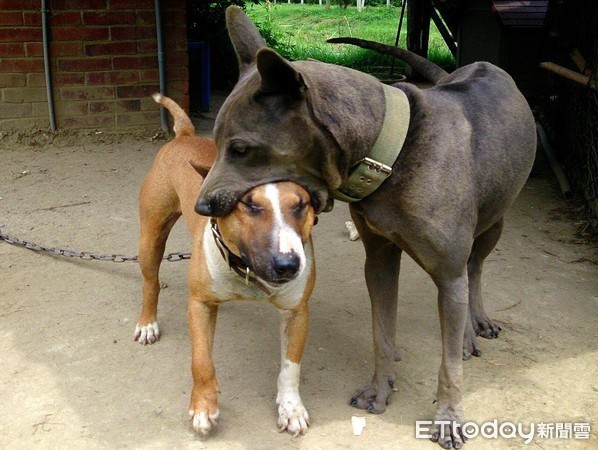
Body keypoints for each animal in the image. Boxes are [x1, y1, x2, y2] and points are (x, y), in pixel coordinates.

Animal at [133, 94, 316, 436]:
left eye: (301, 206)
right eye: (249, 205)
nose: (287, 265)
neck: (246, 270)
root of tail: (185, 136)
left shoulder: (296, 310)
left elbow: (290, 367)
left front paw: (291, 408)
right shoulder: (200, 304)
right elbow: (201, 361)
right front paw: (203, 408)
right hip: (151, 235)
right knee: (151, 282)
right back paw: (147, 323)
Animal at [197, 6, 540, 446]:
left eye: (241, 149)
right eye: (216, 140)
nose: (201, 205)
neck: (392, 153)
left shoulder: (447, 274)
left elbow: (448, 366)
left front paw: (448, 418)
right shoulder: (378, 261)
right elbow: (382, 334)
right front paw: (380, 389)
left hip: (494, 223)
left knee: (475, 270)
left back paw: (473, 325)